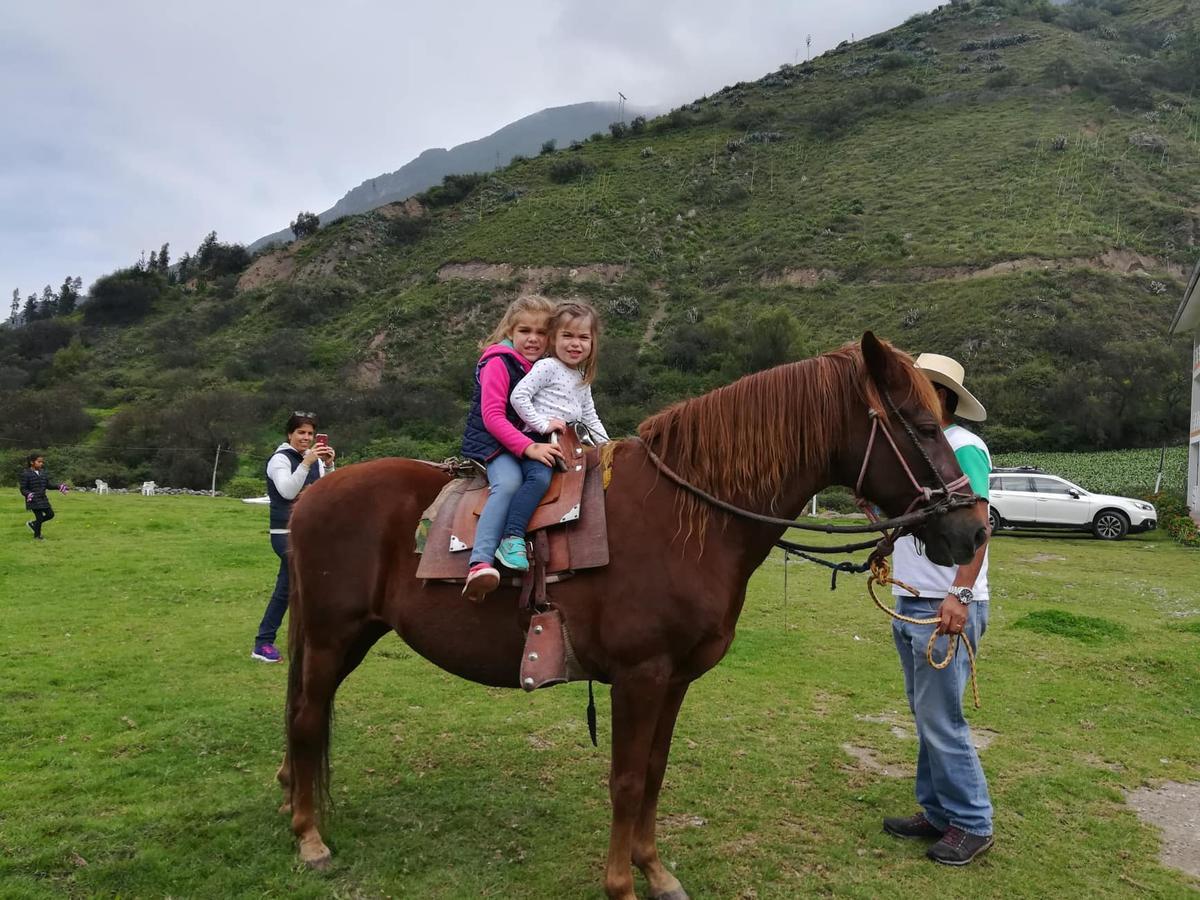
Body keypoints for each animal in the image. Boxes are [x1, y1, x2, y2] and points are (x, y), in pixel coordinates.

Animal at [278, 336, 984, 897]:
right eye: (921, 427)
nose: (975, 530)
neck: (689, 518)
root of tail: (314, 493)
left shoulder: (674, 681)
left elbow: (653, 774)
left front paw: (655, 871)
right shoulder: (639, 677)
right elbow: (624, 779)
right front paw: (620, 883)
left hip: (347, 638)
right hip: (332, 636)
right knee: (309, 719)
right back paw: (309, 837)